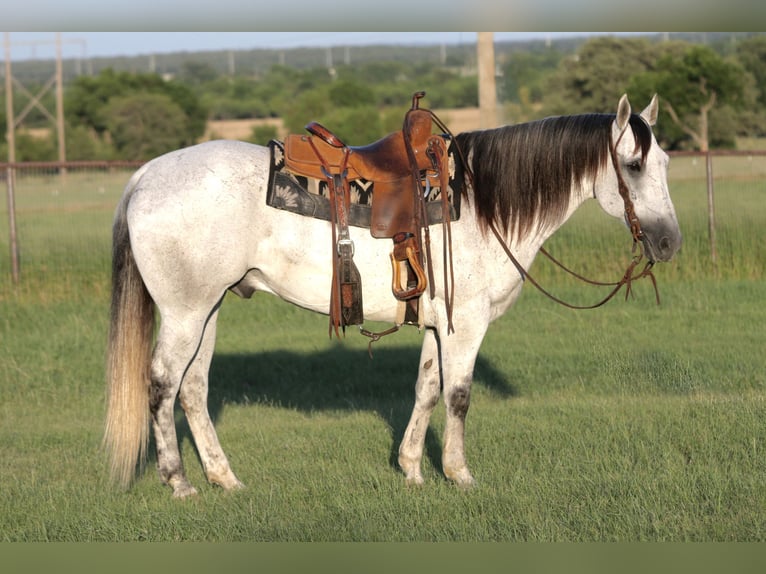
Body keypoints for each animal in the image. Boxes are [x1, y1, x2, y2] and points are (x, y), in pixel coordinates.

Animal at [104, 94, 682, 498]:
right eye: (633, 167)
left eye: (666, 164)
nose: (669, 242)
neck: (482, 204)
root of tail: (145, 176)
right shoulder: (467, 324)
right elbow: (458, 396)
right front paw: (460, 474)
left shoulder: (438, 325)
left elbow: (426, 390)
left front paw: (411, 470)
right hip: (185, 313)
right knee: (162, 385)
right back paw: (179, 482)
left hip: (209, 307)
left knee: (193, 389)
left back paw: (224, 479)